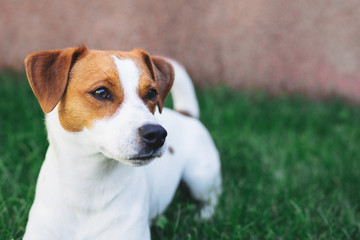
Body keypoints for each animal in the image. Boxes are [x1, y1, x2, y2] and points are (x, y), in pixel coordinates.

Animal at [22, 45, 221, 240]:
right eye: (101, 92)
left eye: (152, 93)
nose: (157, 134)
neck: (91, 186)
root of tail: (186, 115)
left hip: (200, 178)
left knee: (213, 197)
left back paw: (203, 215)